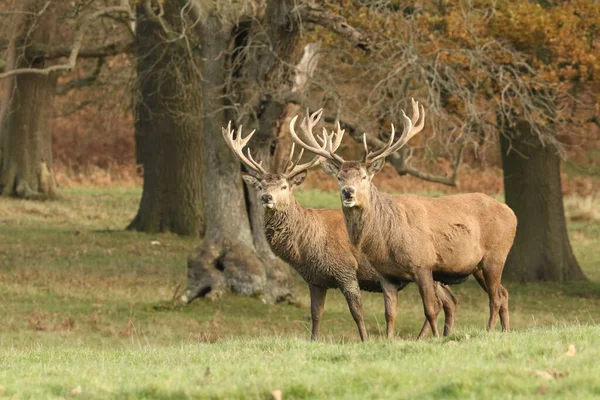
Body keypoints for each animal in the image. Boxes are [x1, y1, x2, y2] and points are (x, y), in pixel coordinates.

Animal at [223, 111, 458, 342]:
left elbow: (357, 311)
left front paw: (365, 340)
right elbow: (316, 313)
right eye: (261, 186)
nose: (266, 197)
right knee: (450, 300)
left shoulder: (345, 269)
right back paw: (442, 335)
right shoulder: (315, 279)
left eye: (284, 186)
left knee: (439, 302)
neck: (307, 247)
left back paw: (425, 337)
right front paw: (314, 341)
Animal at [290, 100, 516, 338]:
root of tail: (511, 213)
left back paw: (489, 331)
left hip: (496, 255)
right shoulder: (386, 274)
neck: (388, 238)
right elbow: (389, 313)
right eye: (340, 177)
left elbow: (430, 309)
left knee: (495, 297)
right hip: (477, 266)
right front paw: (389, 340)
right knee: (503, 293)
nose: (348, 192)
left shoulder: (423, 264)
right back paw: (505, 331)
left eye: (364, 176)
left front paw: (436, 338)